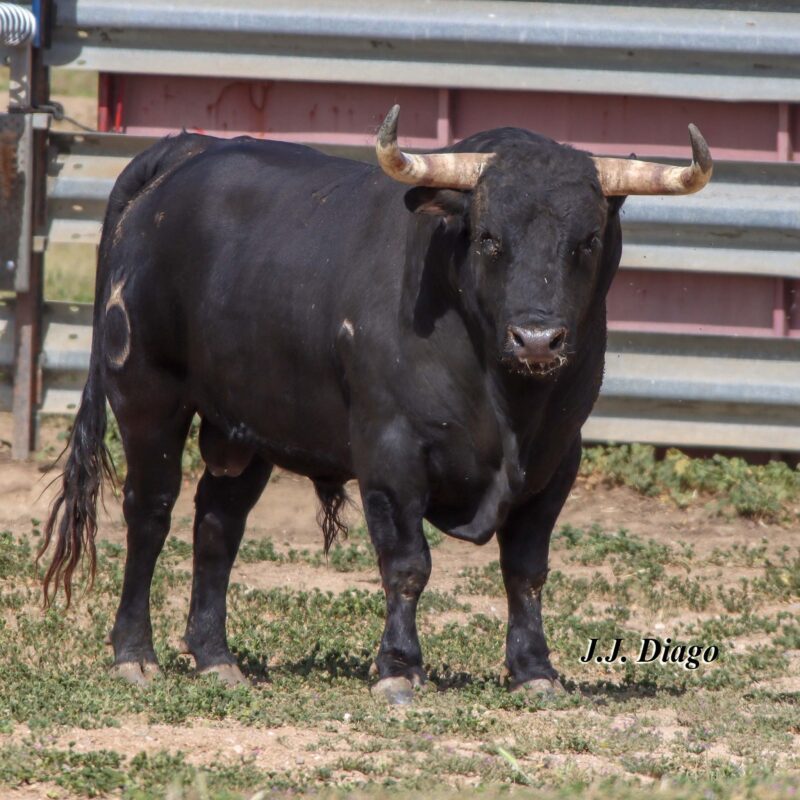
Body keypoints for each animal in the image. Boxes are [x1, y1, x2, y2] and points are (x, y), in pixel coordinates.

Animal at [42, 115, 708, 704]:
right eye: (490, 237)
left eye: (586, 240)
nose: (538, 339)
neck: (505, 400)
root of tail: (185, 152)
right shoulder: (390, 453)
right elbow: (407, 564)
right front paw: (399, 669)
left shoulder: (557, 460)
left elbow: (526, 569)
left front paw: (534, 671)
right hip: (147, 397)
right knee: (149, 514)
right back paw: (135, 655)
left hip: (247, 425)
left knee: (217, 525)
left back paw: (216, 659)